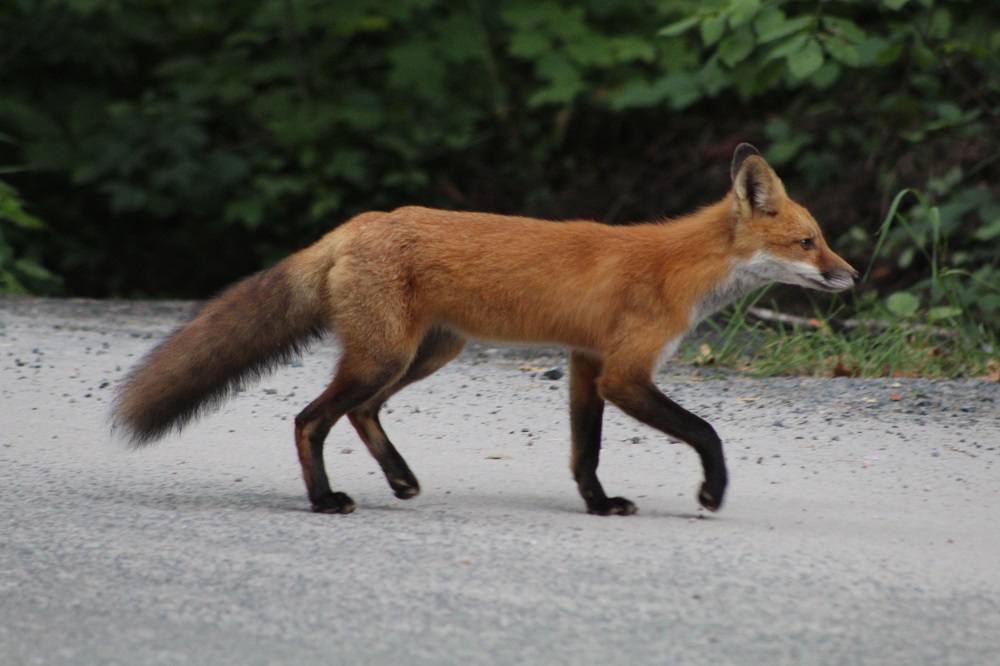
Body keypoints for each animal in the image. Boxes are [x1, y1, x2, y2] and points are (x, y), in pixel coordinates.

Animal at [111, 145, 860, 516]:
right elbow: (706, 432)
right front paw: (711, 492)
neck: (681, 268)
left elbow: (584, 453)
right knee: (309, 419)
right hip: (387, 356)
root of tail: (355, 224)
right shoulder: (624, 371)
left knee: (359, 413)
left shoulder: (587, 363)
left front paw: (598, 506)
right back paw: (324, 501)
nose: (853, 276)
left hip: (424, 355)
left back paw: (400, 480)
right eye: (809, 242)